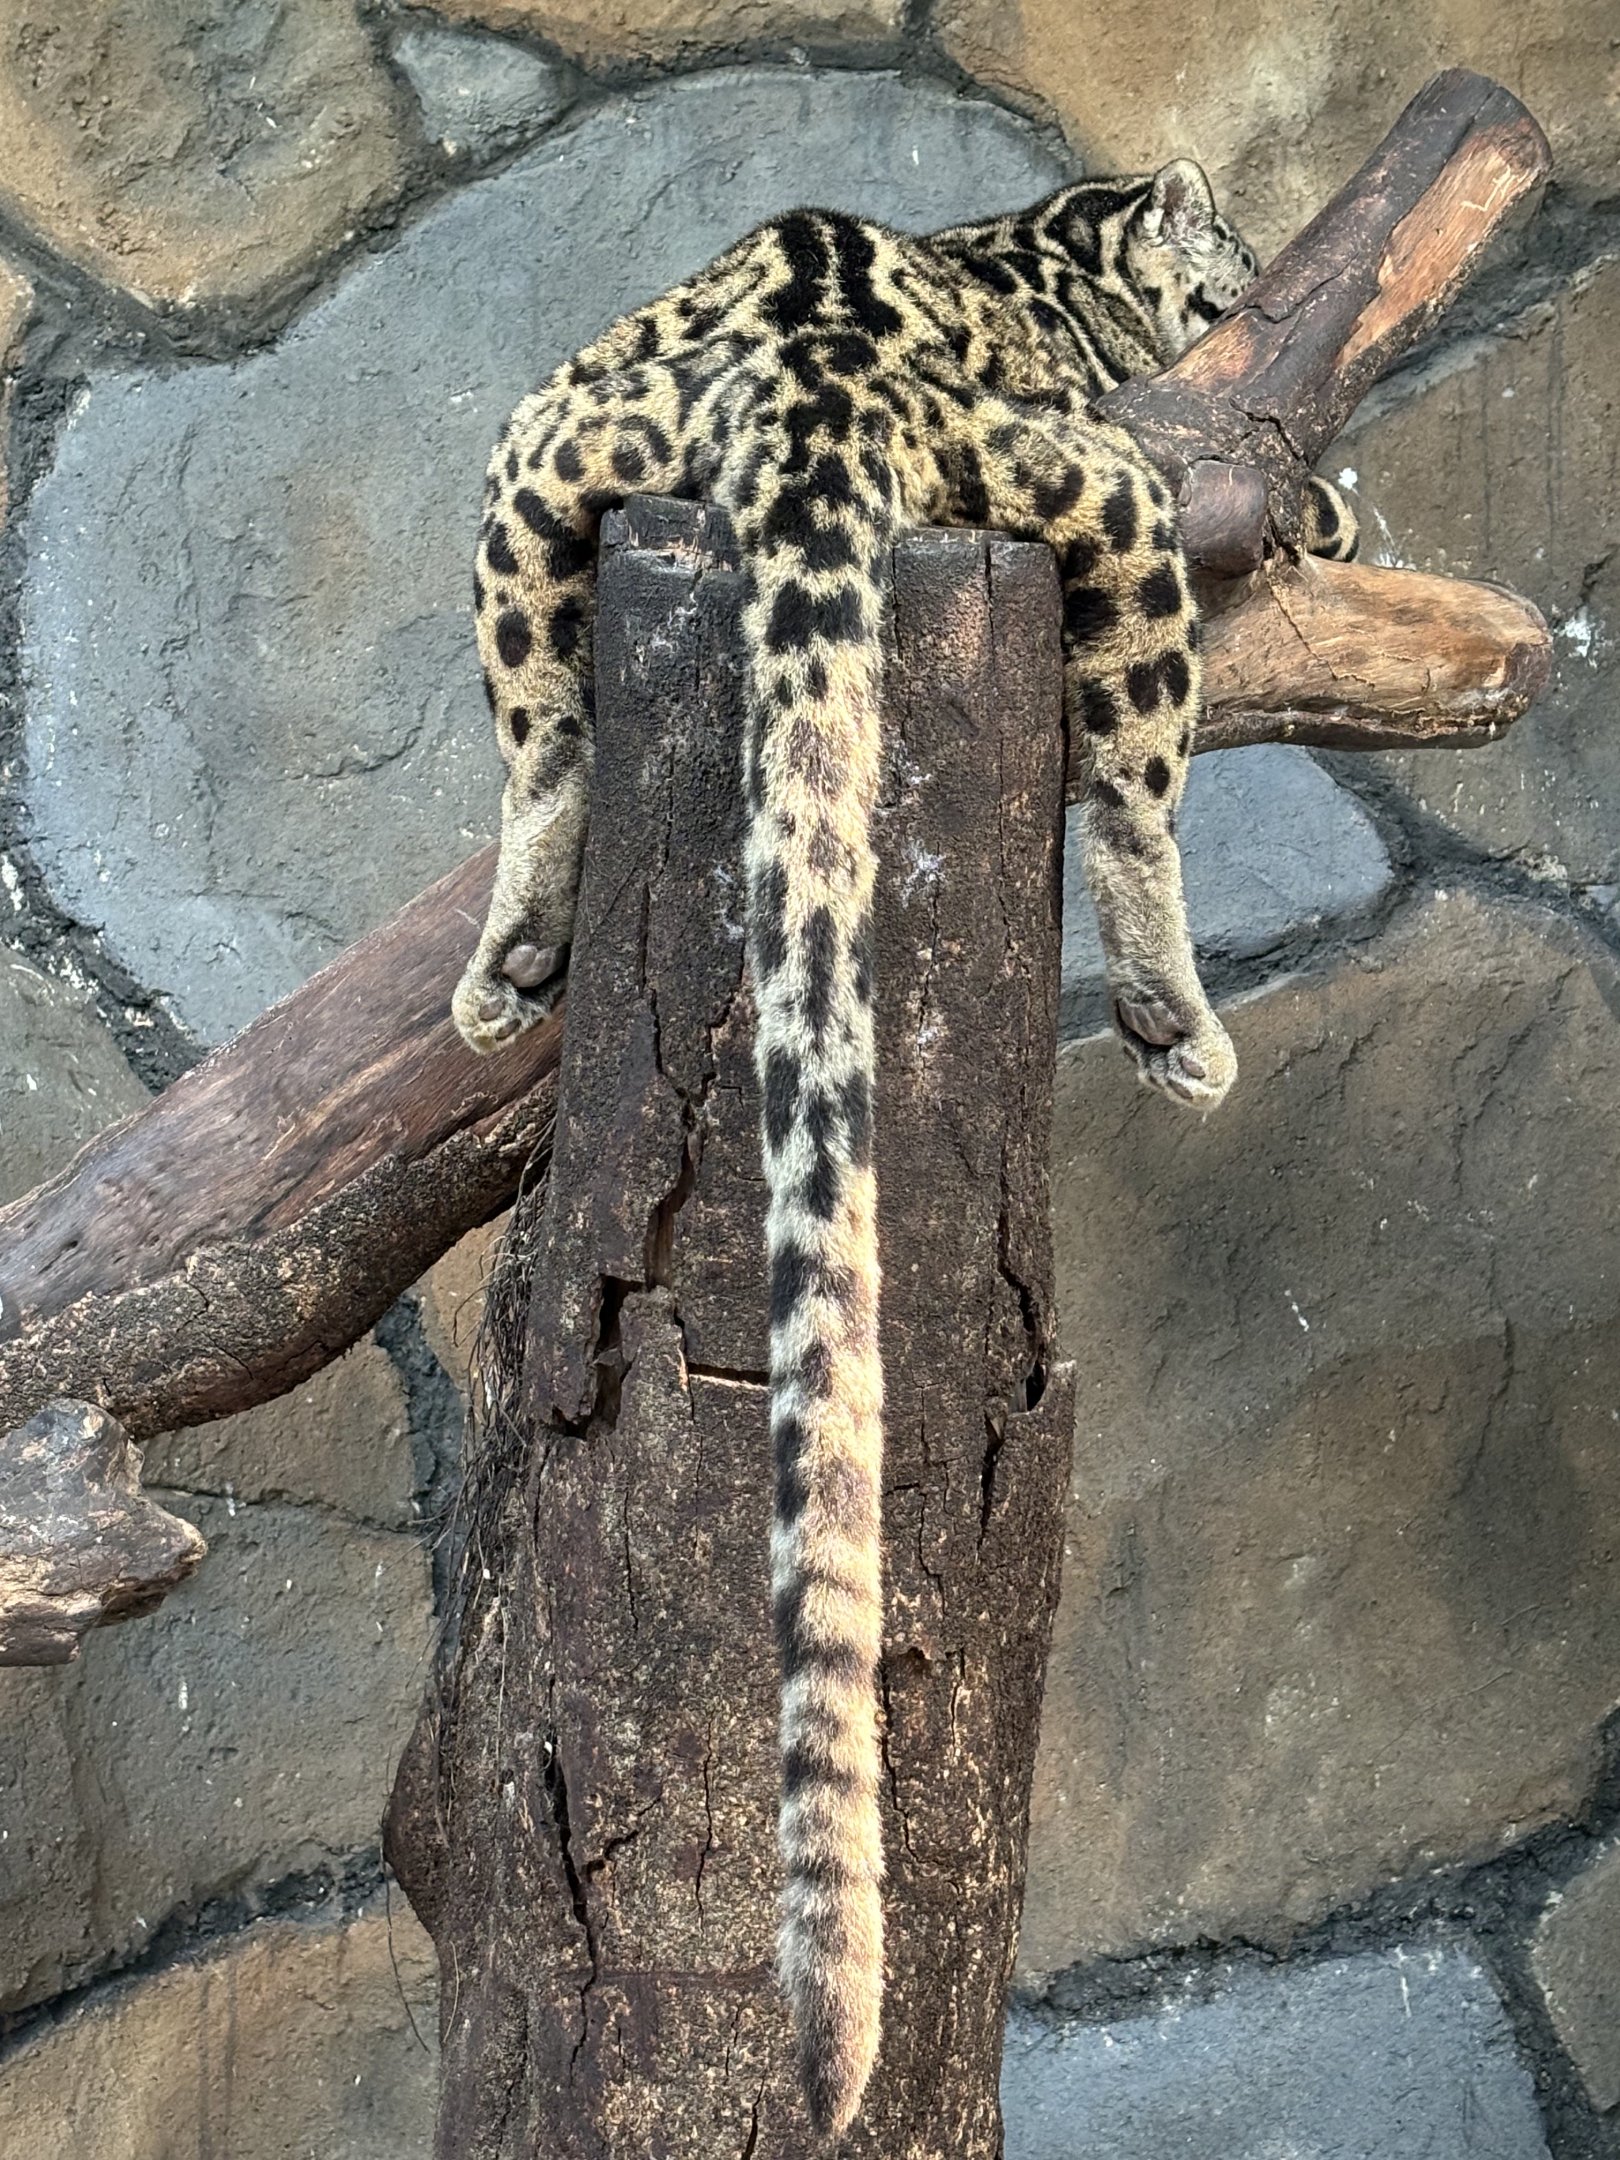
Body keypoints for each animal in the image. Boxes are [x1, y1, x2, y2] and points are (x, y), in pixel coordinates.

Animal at [451, 158, 1359, 2139]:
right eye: (1233, 264)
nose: (1248, 277)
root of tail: (813, 378)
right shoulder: (1137, 421)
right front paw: (1330, 500)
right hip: (1092, 495)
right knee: (1142, 769)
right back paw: (1174, 1021)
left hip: (550, 446)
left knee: (542, 729)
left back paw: (509, 964)